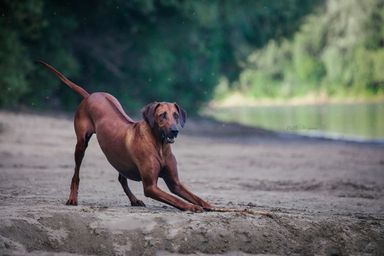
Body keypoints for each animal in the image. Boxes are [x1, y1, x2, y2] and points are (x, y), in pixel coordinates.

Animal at [37, 60, 212, 212]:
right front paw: (191, 207)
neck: (160, 145)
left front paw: (209, 205)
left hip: (118, 155)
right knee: (76, 174)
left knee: (122, 178)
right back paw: (73, 198)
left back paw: (134, 200)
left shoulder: (175, 183)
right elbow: (176, 200)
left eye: (176, 115)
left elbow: (194, 196)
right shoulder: (150, 187)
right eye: (162, 115)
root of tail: (90, 95)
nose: (175, 130)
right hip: (81, 143)